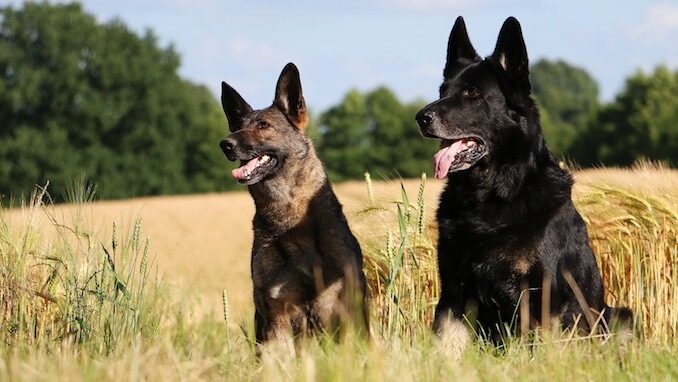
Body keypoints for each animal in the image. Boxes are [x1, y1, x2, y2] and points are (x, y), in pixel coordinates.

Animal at [220, 63, 370, 346]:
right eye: (236, 127)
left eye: (264, 125)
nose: (225, 144)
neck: (290, 218)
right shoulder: (276, 311)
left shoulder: (340, 303)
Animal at [418, 16, 636, 344]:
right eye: (443, 90)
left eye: (472, 94)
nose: (421, 117)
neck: (491, 194)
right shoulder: (453, 294)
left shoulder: (538, 299)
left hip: (619, 315)